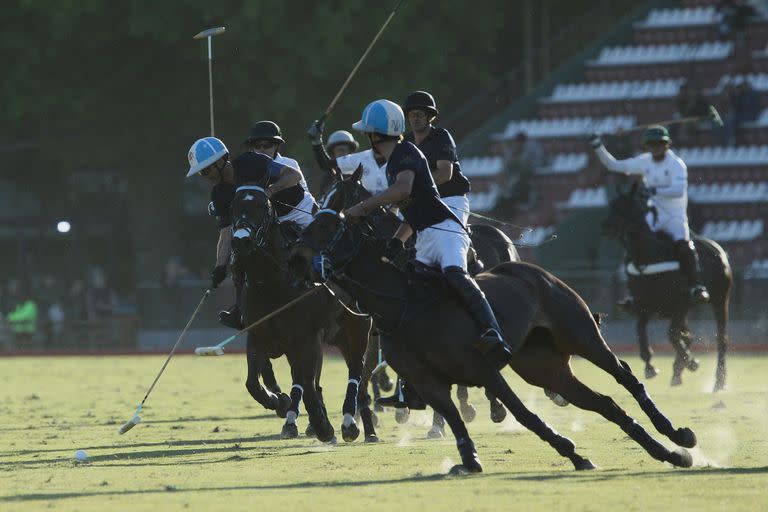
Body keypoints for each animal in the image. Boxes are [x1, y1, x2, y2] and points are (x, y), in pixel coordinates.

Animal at [232, 186, 380, 442]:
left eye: (262, 206)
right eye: (234, 205)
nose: (241, 241)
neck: (272, 283)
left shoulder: (306, 338)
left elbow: (309, 386)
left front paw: (323, 427)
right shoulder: (258, 336)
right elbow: (253, 383)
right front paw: (279, 401)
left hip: (356, 329)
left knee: (356, 371)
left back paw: (351, 423)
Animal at [288, 211, 696, 472]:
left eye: (328, 225)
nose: (296, 260)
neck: (403, 305)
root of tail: (533, 269)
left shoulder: (482, 370)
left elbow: (523, 414)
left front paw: (573, 453)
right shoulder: (427, 382)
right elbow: (454, 420)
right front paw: (469, 461)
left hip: (582, 335)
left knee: (624, 373)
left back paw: (677, 433)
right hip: (542, 366)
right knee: (605, 403)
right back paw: (669, 454)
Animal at [600, 185, 732, 392]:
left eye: (626, 205)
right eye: (612, 204)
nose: (605, 226)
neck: (648, 257)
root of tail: (715, 248)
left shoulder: (678, 304)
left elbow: (673, 335)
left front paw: (691, 362)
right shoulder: (645, 305)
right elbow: (641, 331)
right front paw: (650, 367)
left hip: (719, 300)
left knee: (721, 338)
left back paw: (719, 381)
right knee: (686, 335)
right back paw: (678, 372)